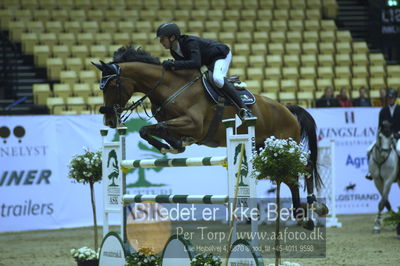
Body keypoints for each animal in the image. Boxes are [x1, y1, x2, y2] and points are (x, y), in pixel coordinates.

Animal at [94, 45, 328, 229]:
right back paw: (302, 217)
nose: (109, 121)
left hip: (284, 145)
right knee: (291, 177)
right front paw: (173, 145)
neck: (168, 86)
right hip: (264, 150)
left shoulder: (194, 124)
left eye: (112, 86)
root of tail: (287, 108)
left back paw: (314, 209)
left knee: (304, 168)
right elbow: (151, 130)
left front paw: (172, 145)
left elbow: (155, 128)